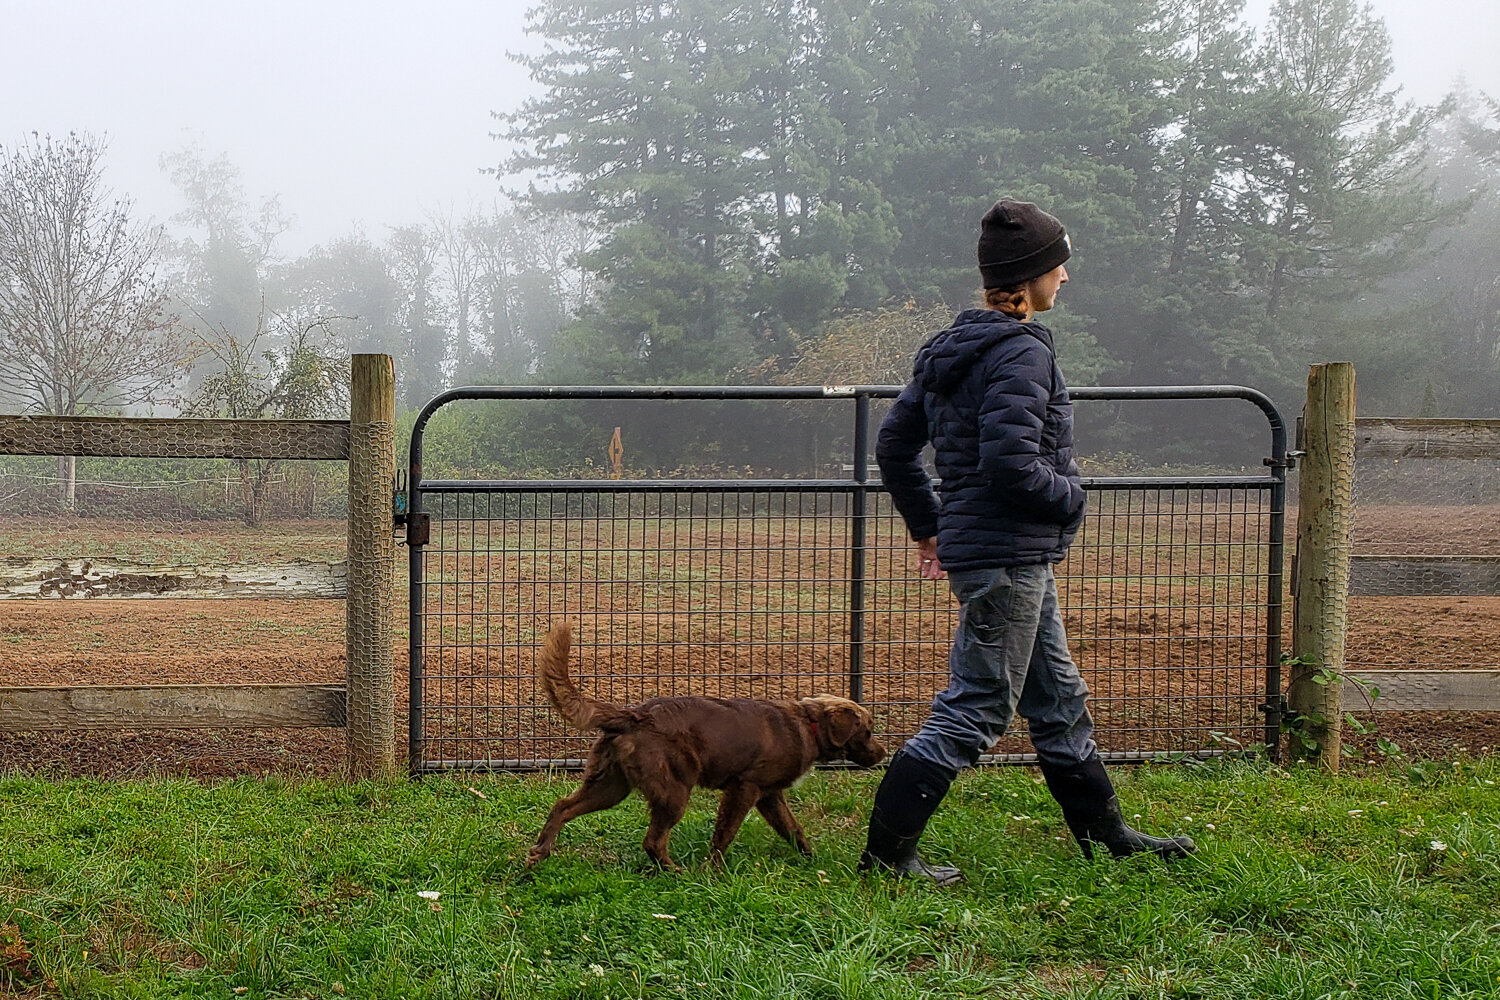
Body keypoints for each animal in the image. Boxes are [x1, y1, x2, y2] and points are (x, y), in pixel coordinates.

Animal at [525, 620, 882, 869]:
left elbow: (793, 829)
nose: (882, 754)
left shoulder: (770, 796)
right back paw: (677, 872)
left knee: (563, 806)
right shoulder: (744, 788)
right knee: (653, 841)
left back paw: (540, 851)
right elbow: (725, 833)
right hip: (673, 792)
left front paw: (812, 860)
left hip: (610, 785)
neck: (809, 725)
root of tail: (634, 714)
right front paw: (714, 870)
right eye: (867, 730)